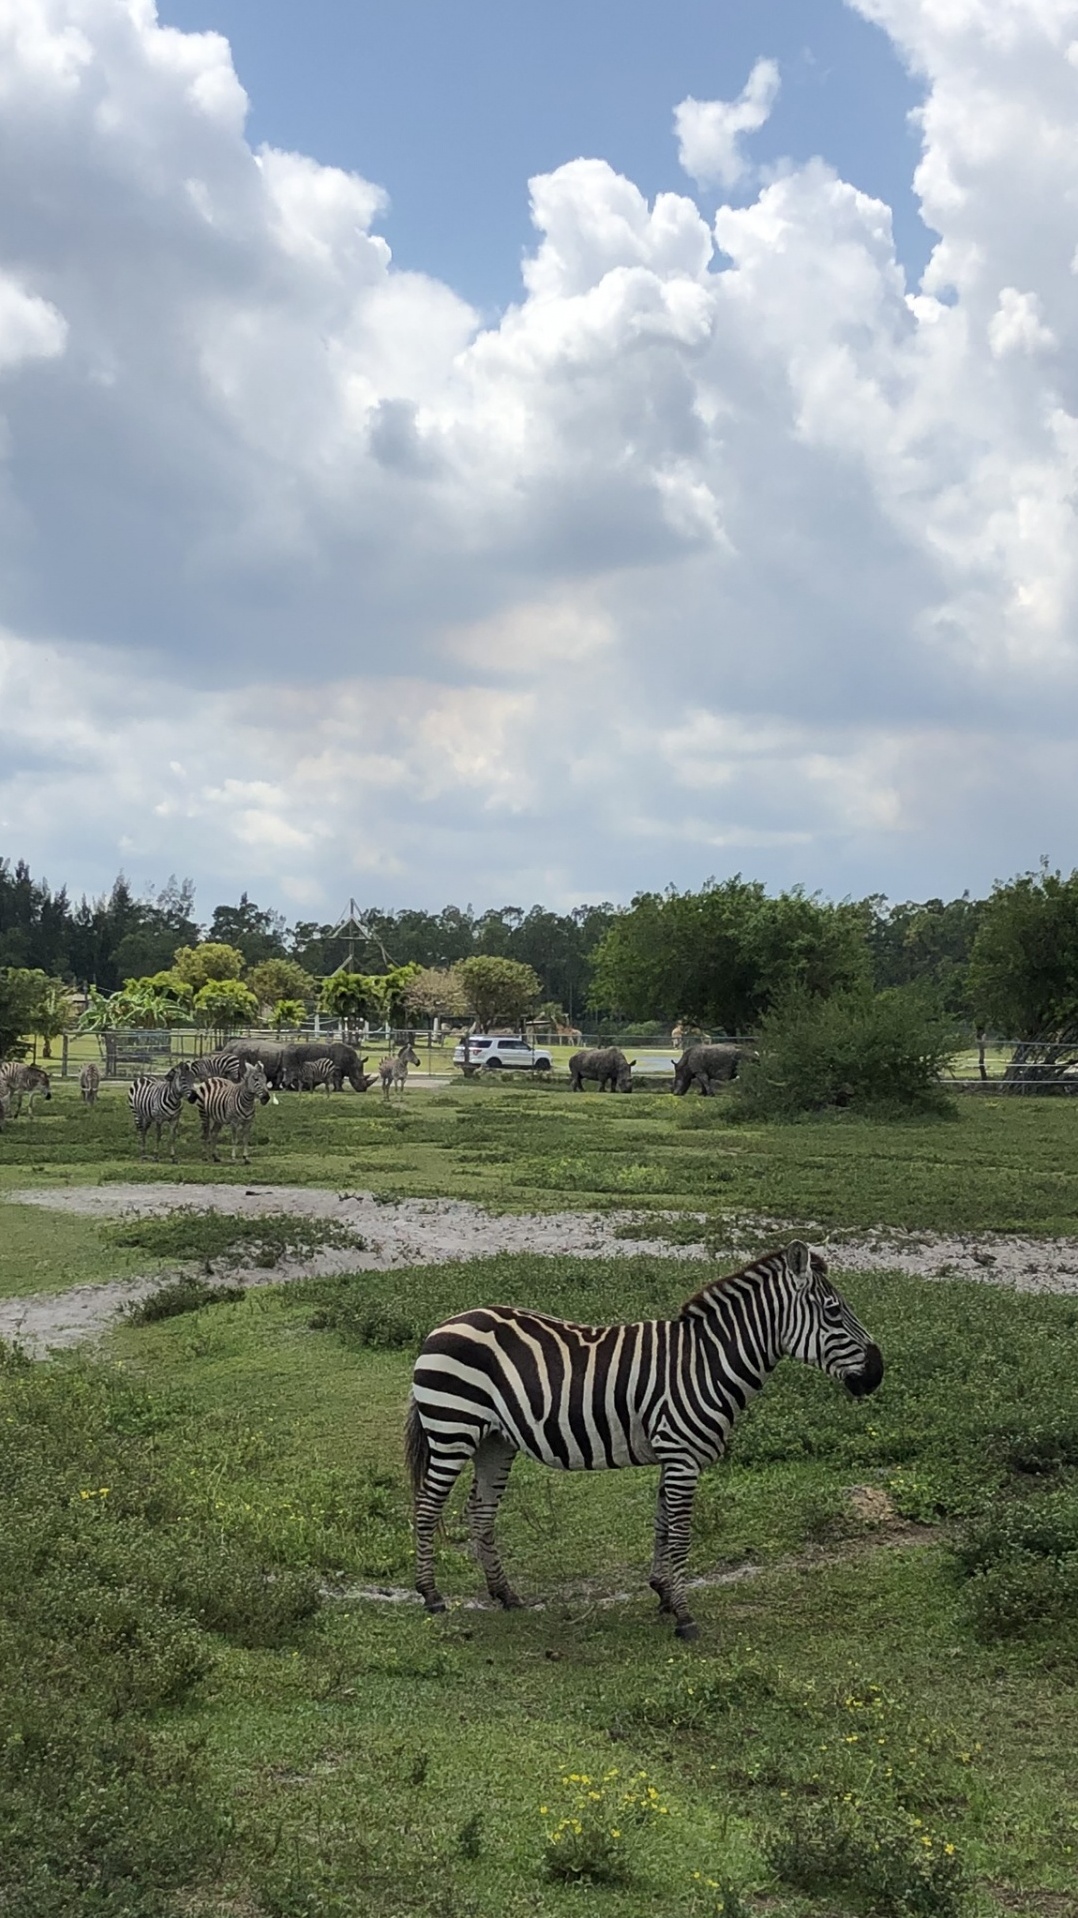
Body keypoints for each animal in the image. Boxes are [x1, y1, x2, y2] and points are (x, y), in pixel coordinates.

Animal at [402, 1235, 882, 1641]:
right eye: (834, 1311)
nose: (878, 1374)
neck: (707, 1362)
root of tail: (444, 1324)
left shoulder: (673, 1455)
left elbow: (662, 1525)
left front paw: (664, 1595)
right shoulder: (683, 1454)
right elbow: (682, 1533)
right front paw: (685, 1617)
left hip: (495, 1440)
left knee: (480, 1510)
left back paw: (505, 1595)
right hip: (452, 1428)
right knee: (427, 1505)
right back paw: (431, 1595)